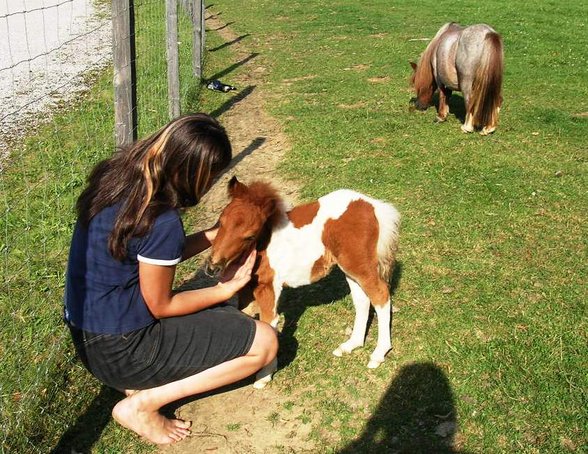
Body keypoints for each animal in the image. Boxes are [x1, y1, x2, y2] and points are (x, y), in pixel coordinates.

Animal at [207, 176, 400, 388]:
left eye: (249, 236)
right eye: (220, 222)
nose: (212, 267)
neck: (264, 244)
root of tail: (373, 206)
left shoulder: (268, 288)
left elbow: (269, 322)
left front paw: (264, 375)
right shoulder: (246, 292)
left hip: (360, 266)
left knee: (381, 295)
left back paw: (378, 354)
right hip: (350, 269)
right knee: (362, 300)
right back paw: (351, 345)